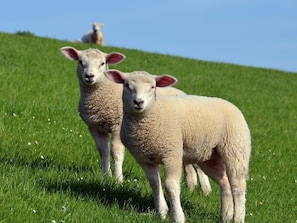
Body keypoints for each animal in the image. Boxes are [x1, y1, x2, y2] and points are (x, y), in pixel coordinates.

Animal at [105, 69, 251, 223]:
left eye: (152, 87)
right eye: (127, 85)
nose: (138, 102)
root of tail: (232, 105)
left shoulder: (172, 154)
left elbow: (170, 186)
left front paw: (178, 217)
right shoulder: (144, 159)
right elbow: (155, 184)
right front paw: (161, 213)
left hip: (236, 149)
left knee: (238, 186)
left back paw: (238, 217)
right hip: (209, 156)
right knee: (224, 182)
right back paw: (226, 215)